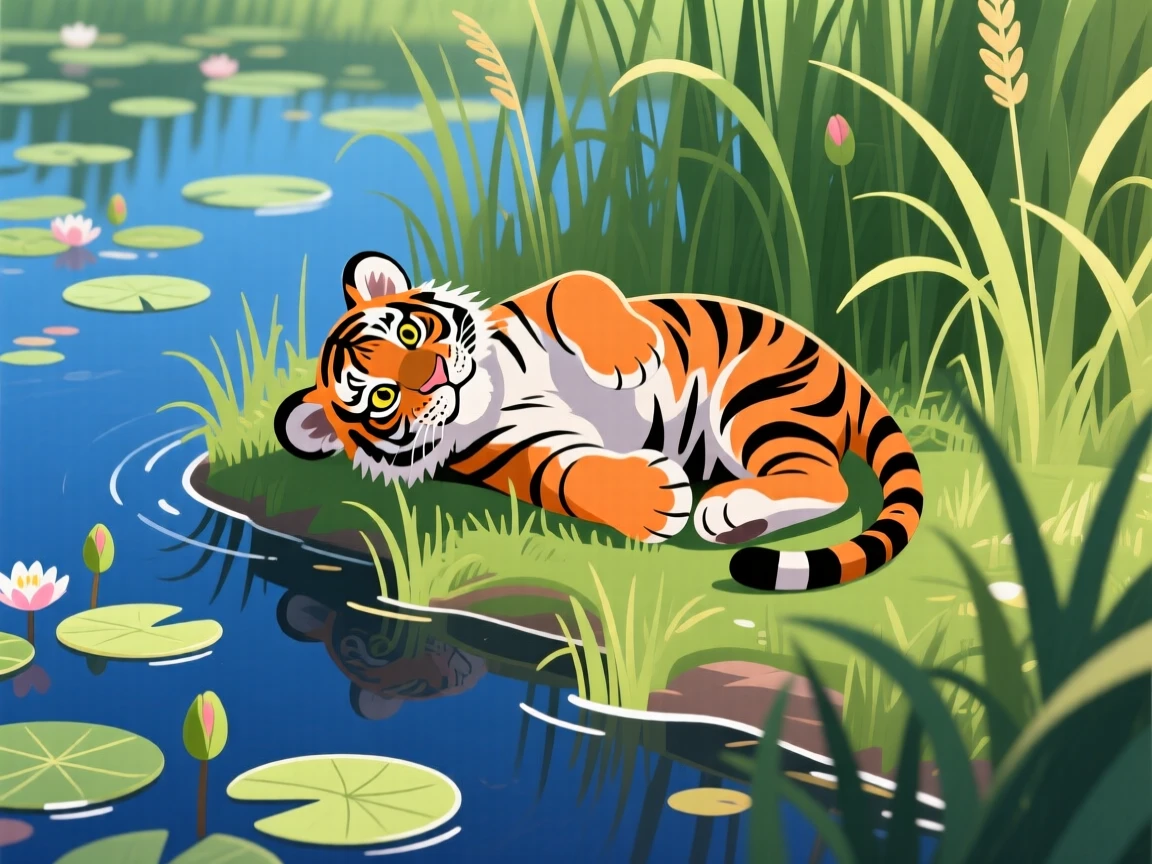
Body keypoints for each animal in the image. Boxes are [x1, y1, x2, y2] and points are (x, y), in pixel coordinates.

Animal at [274, 251, 924, 591]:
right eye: (382, 397)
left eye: (409, 332)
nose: (436, 377)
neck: (496, 392)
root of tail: (847, 371)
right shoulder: (536, 456)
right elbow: (584, 478)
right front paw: (659, 500)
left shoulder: (540, 305)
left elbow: (577, 285)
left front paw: (629, 353)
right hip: (760, 406)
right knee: (829, 482)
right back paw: (730, 513)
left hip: (754, 394)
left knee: (827, 481)